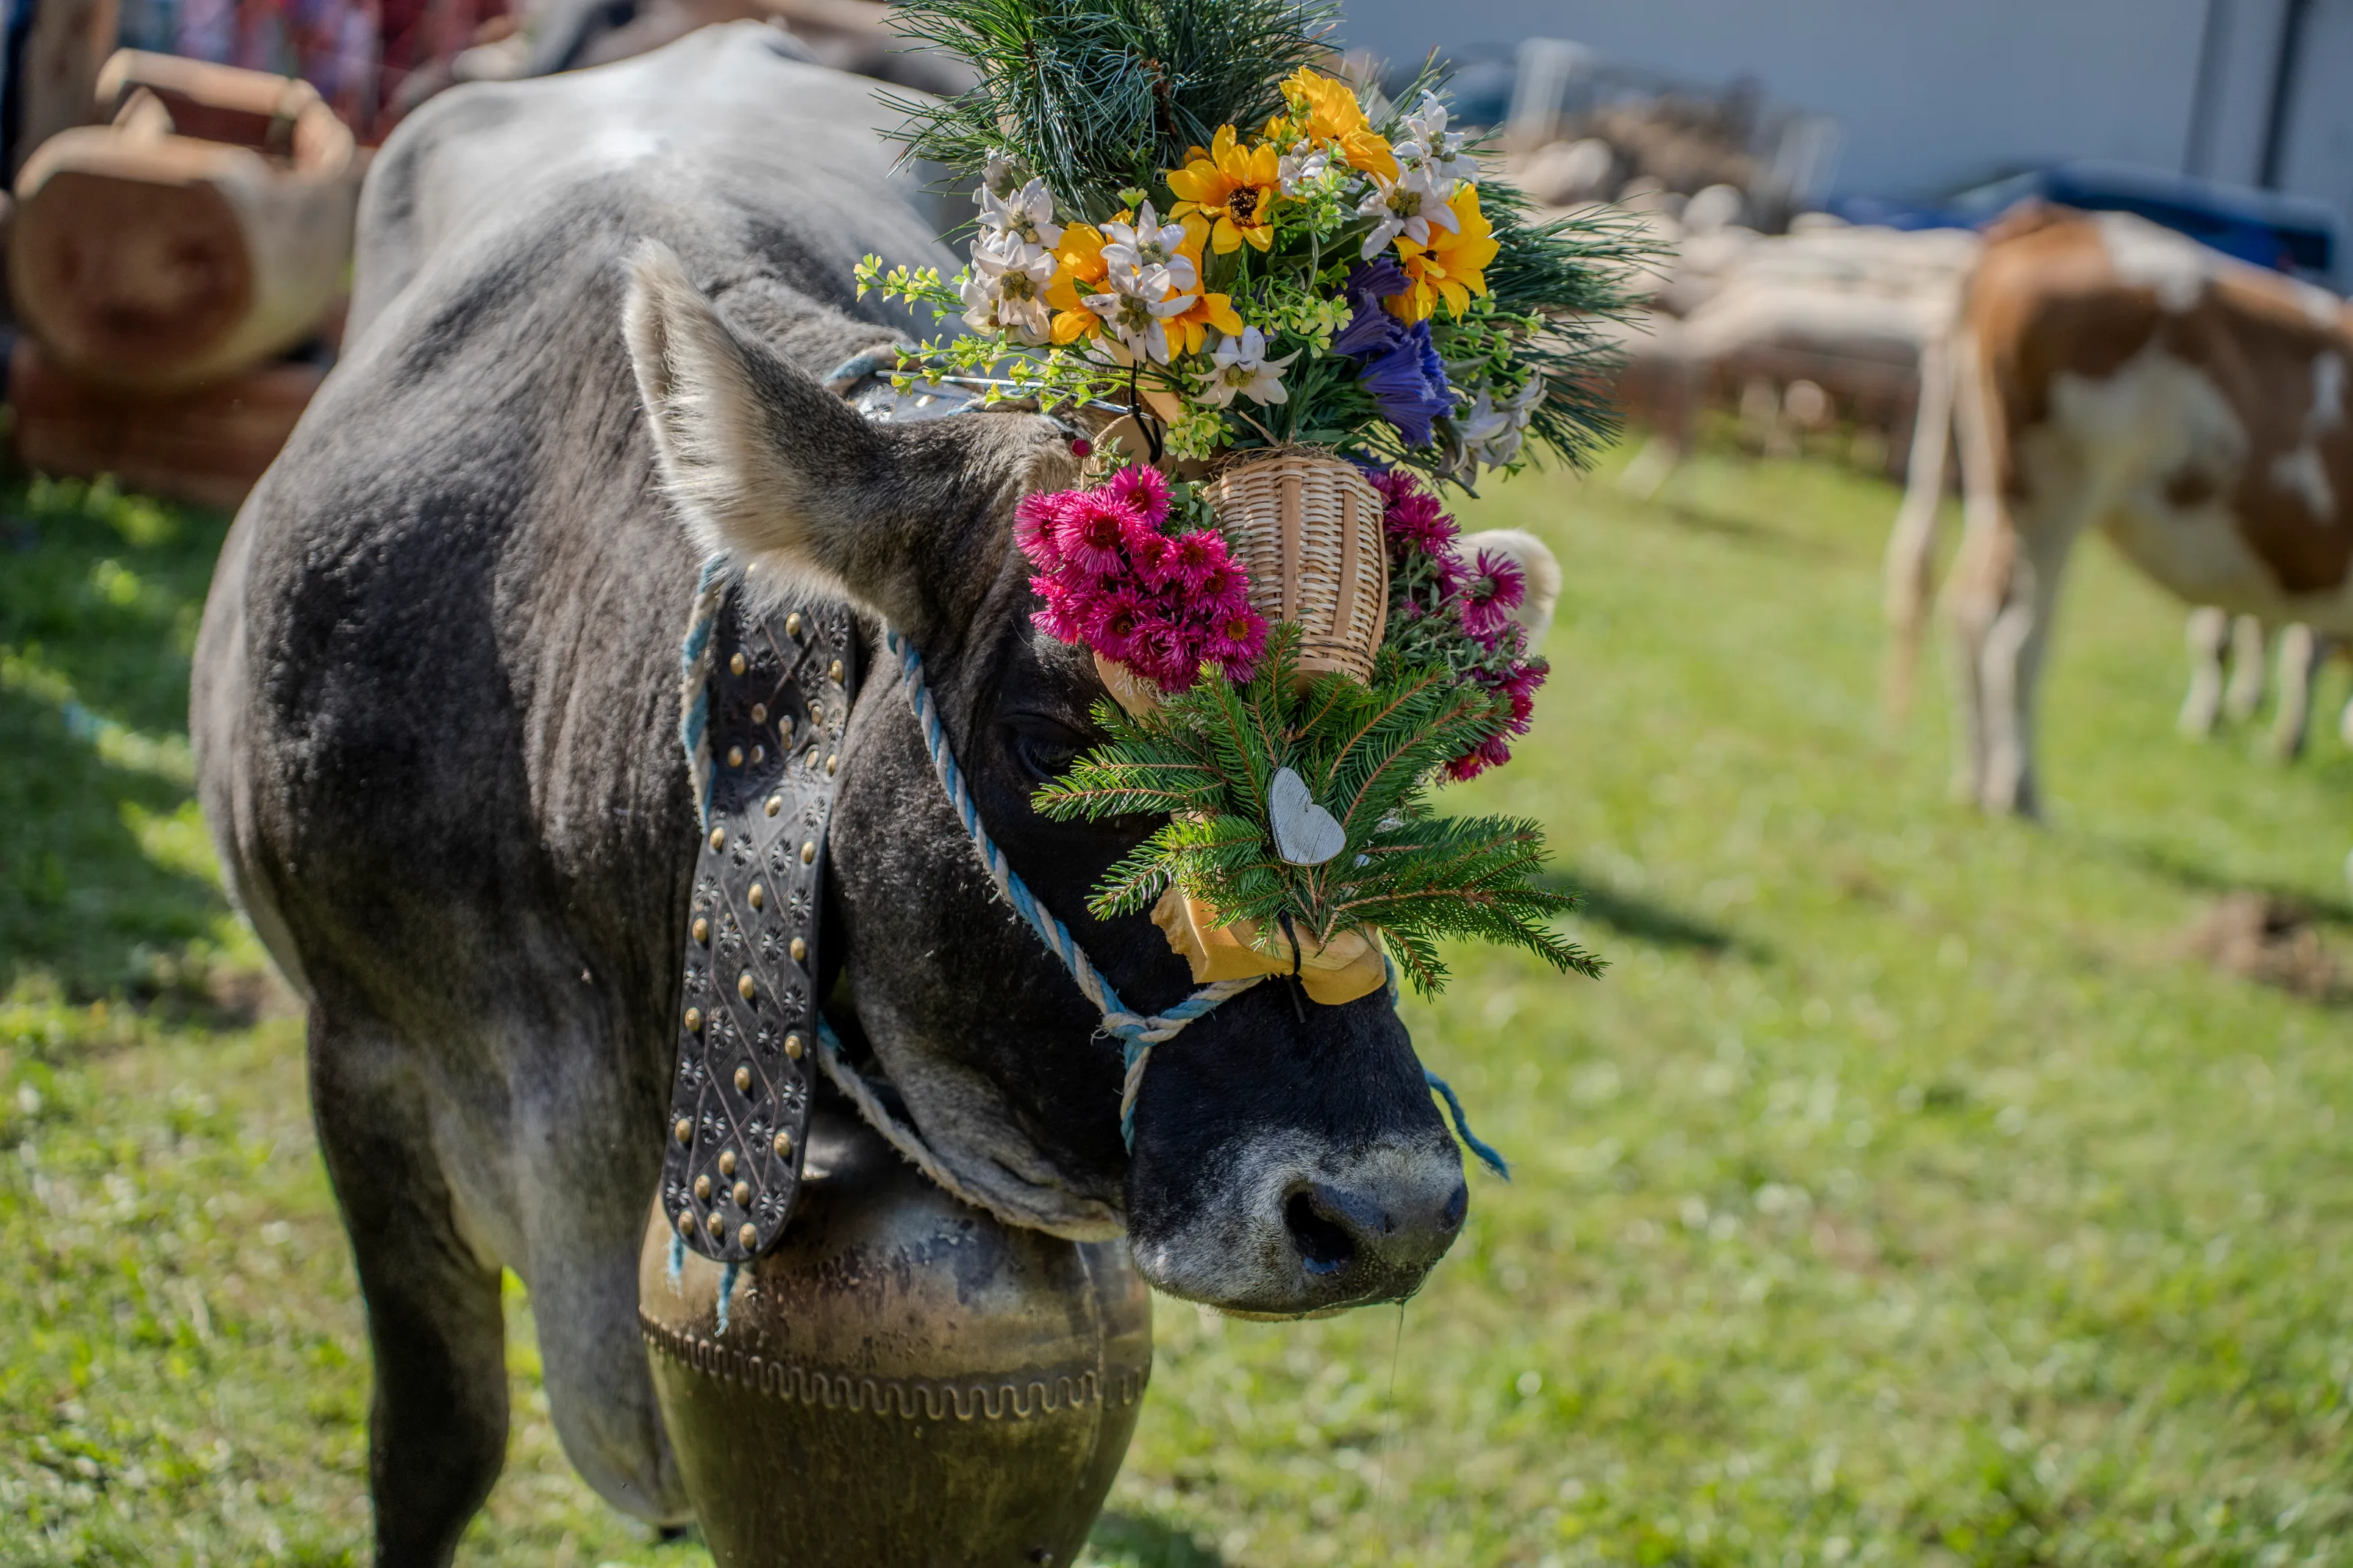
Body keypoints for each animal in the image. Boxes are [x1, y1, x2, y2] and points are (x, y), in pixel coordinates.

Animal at [1884, 203, 2353, 814]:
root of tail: (2050, 223)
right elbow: (2293, 652)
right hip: (2056, 489)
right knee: (2010, 630)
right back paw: (2019, 793)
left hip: (1995, 483)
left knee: (1965, 608)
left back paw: (1974, 783)